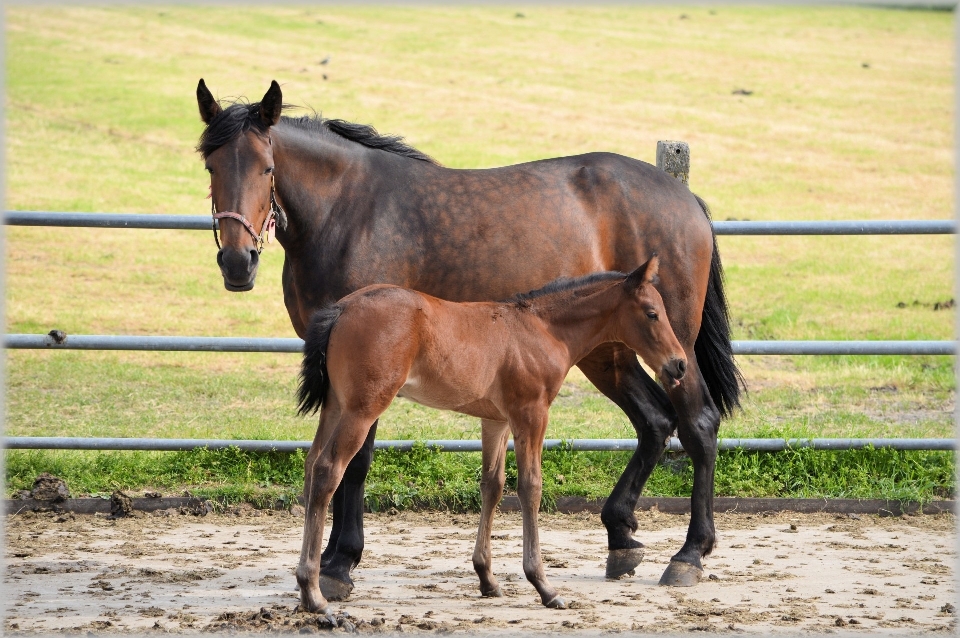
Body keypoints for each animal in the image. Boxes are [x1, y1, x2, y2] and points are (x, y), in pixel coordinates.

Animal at [296, 258, 688, 616]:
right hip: (363, 409)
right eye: (652, 314)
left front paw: (487, 578)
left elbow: (493, 486)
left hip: (336, 406)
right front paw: (544, 586)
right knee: (329, 470)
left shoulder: (495, 421)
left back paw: (305, 586)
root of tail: (342, 308)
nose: (680, 364)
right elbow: (531, 487)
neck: (543, 330)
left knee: (312, 465)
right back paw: (314, 594)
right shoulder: (531, 414)